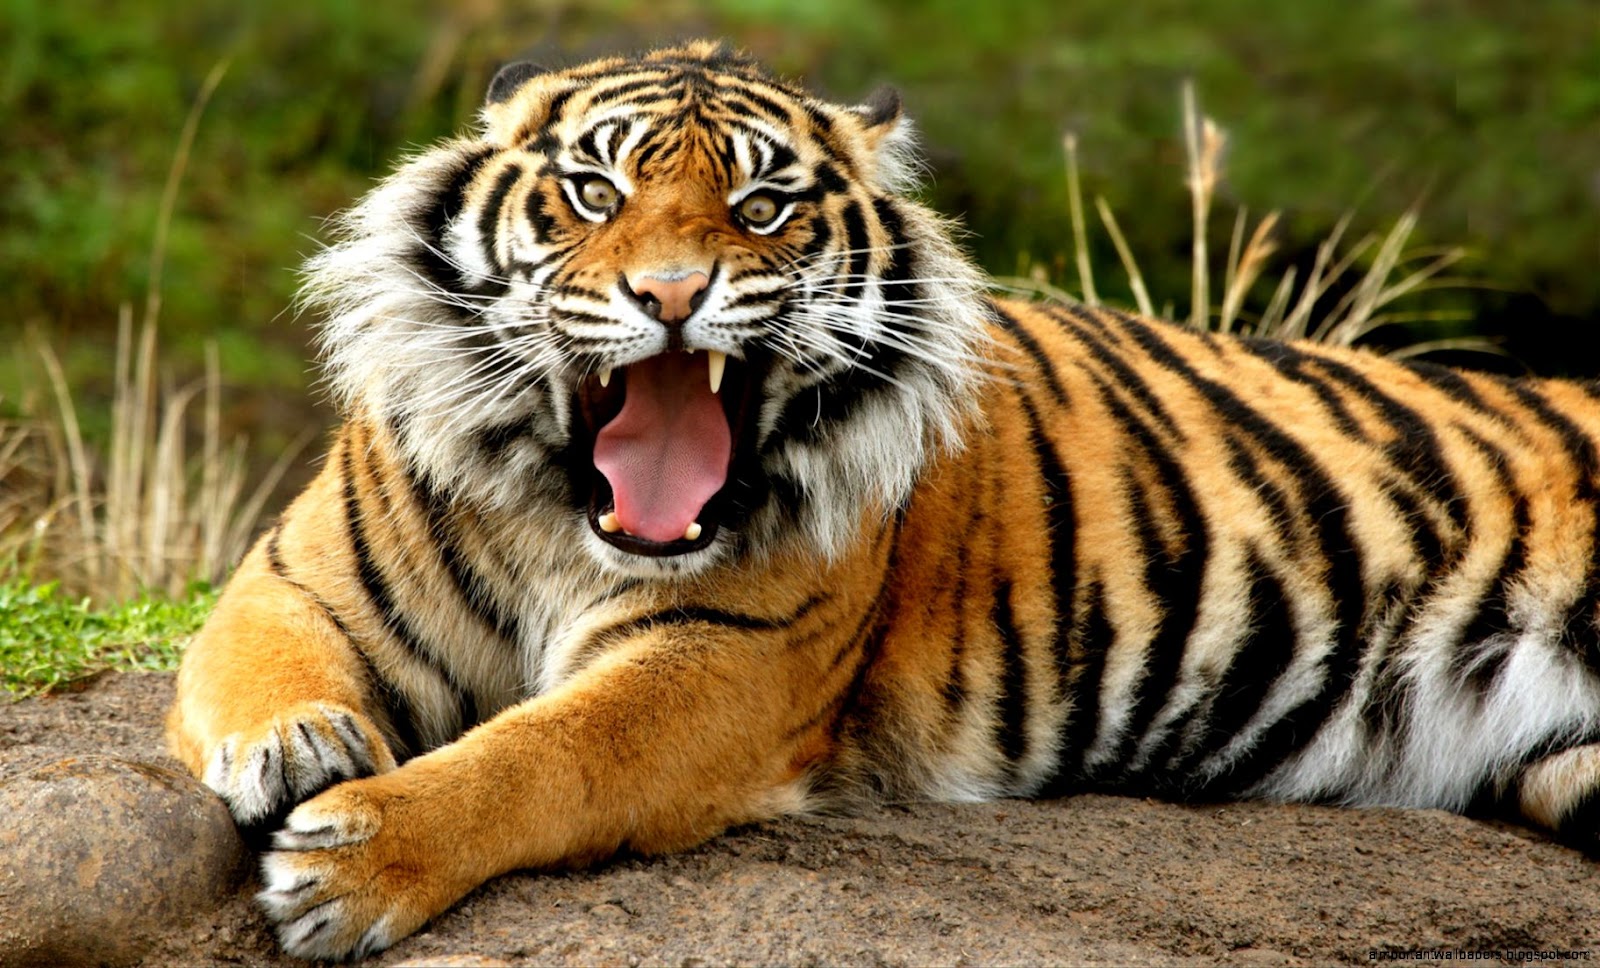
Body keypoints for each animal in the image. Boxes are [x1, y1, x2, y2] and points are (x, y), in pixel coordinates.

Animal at [167, 39, 1600, 960]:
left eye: (760, 205)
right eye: (595, 191)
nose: (671, 293)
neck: (558, 511)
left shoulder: (718, 663)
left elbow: (540, 753)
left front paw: (352, 861)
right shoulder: (296, 575)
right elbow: (261, 663)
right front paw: (295, 746)